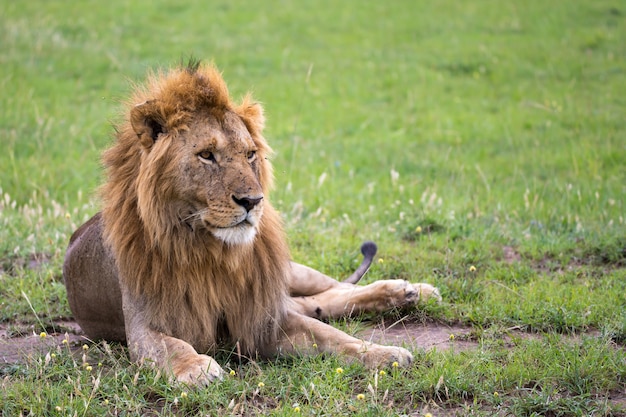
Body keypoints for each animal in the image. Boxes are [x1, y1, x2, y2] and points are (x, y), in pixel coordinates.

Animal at [64, 61, 438, 384]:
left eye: (250, 154)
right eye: (206, 155)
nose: (253, 201)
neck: (210, 251)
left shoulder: (262, 315)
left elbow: (333, 336)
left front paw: (384, 354)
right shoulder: (144, 325)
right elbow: (170, 346)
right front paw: (195, 368)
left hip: (288, 271)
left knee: (336, 289)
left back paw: (411, 290)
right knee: (318, 302)